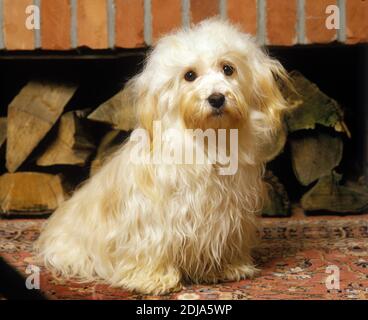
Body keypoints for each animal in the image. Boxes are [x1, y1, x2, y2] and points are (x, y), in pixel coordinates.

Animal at [37, 19, 290, 296]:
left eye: (228, 69)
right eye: (189, 75)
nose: (216, 98)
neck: (207, 143)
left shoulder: (228, 215)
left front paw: (226, 267)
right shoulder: (150, 220)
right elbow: (153, 247)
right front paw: (153, 279)